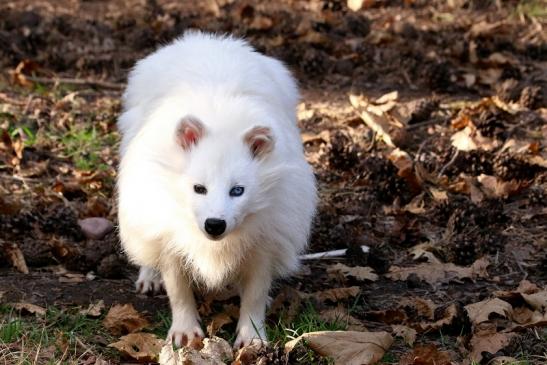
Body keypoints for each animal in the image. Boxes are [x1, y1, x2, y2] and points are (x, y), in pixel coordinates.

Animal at [119, 32, 316, 346]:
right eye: (198, 188)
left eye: (238, 191)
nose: (215, 225)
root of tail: (205, 39)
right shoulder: (170, 235)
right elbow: (178, 290)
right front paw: (185, 331)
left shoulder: (266, 239)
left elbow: (255, 293)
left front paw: (253, 336)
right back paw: (150, 275)